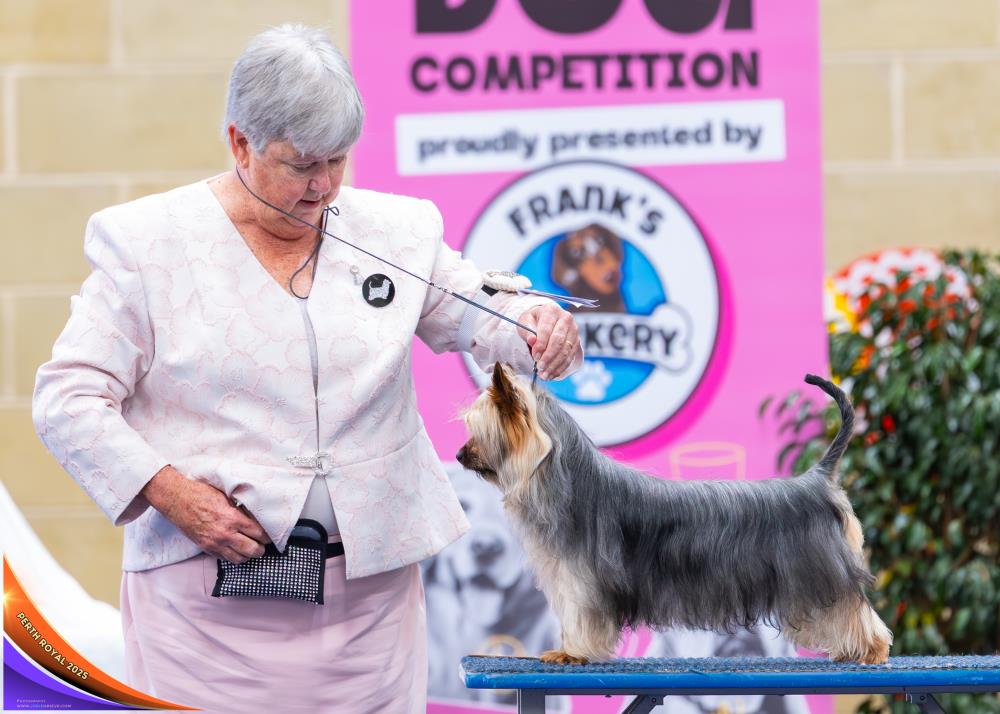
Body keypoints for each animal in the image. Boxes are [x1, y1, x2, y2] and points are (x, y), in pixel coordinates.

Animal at [457, 363, 893, 665]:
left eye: (482, 430)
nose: (460, 454)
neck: (561, 475)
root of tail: (819, 477)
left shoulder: (582, 578)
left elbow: (581, 614)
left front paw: (573, 652)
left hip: (821, 570)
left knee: (851, 606)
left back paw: (870, 649)